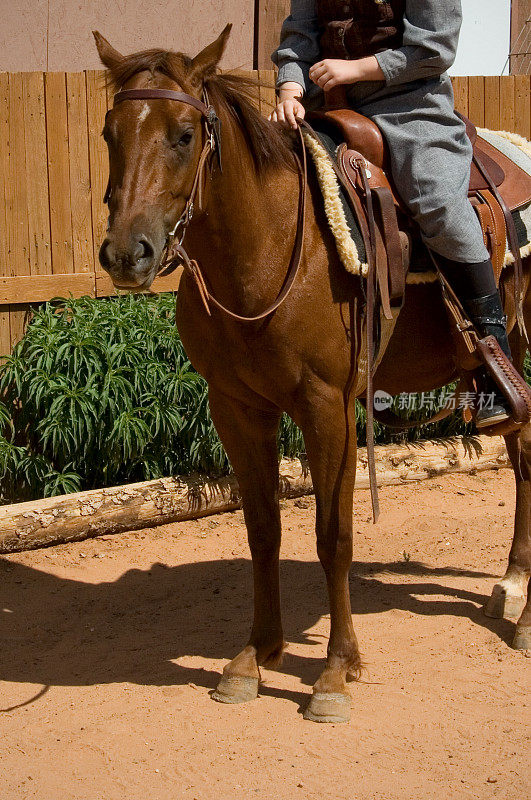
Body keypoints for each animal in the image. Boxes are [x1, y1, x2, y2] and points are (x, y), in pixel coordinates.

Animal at [93, 28, 528, 720]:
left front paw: (334, 671)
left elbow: (333, 536)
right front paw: (255, 656)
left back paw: (522, 613)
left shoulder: (329, 408)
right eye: (111, 132)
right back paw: (511, 584)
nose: (127, 253)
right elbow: (263, 529)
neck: (266, 253)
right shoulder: (236, 408)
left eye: (185, 134)